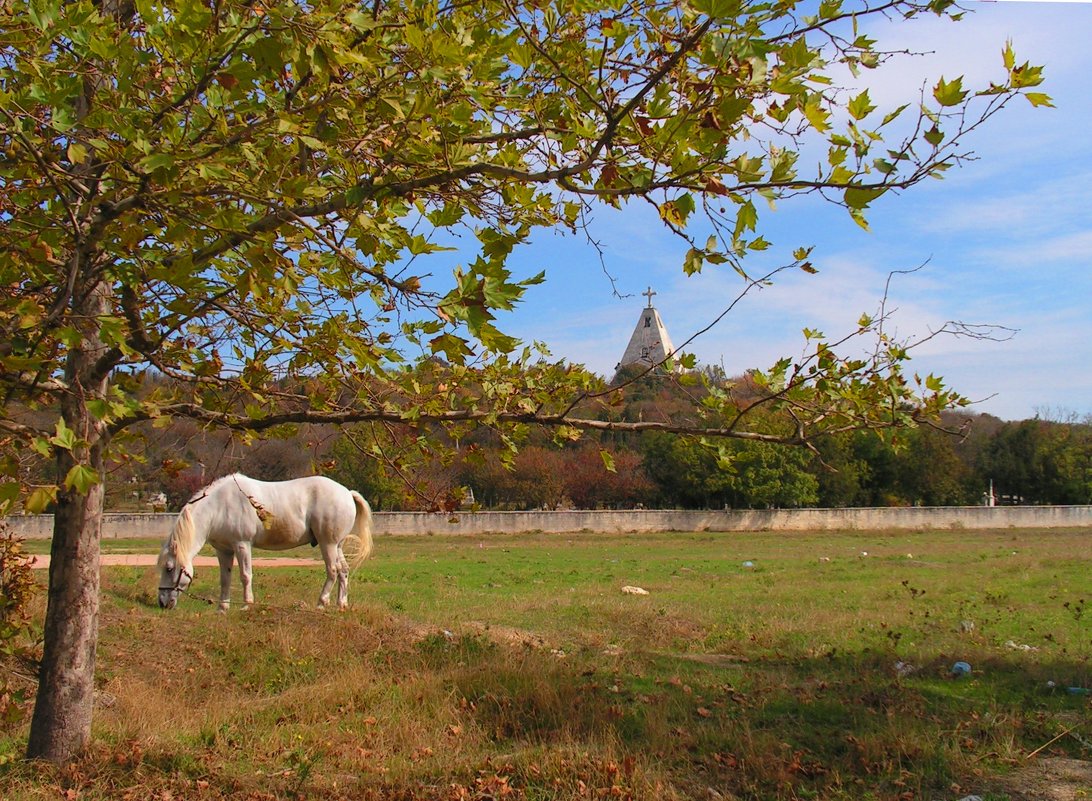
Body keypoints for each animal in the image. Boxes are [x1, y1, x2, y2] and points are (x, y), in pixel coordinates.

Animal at [156, 473, 373, 611]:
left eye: (169, 568)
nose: (162, 603)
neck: (219, 507)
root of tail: (347, 492)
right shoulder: (224, 550)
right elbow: (225, 579)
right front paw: (222, 608)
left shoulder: (242, 545)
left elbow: (245, 575)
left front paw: (246, 605)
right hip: (337, 545)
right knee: (343, 570)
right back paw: (341, 604)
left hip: (327, 544)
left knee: (333, 571)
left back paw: (321, 603)